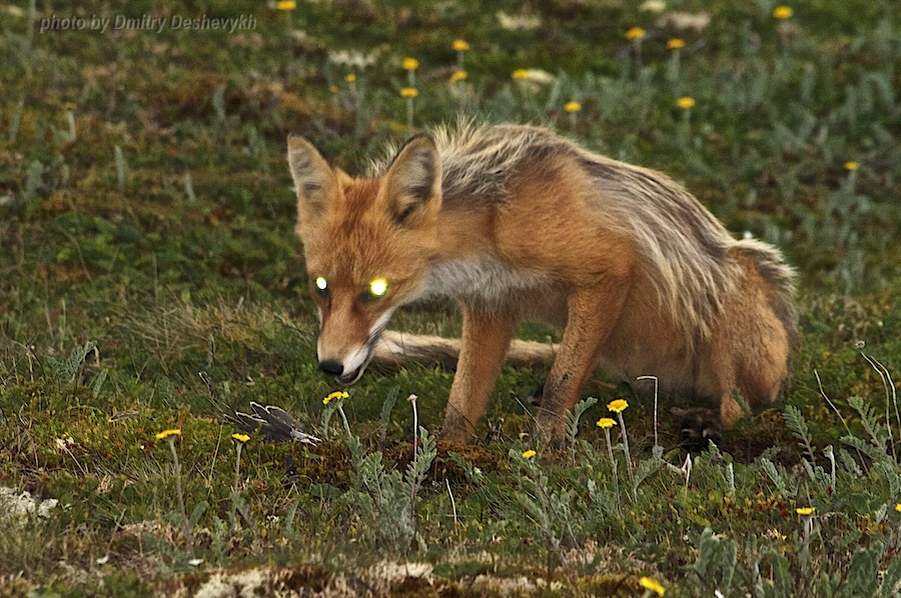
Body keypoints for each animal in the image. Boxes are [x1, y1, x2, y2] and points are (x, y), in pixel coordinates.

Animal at [286, 124, 796, 446]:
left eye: (376, 290)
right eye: (320, 286)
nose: (330, 366)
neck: (489, 234)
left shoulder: (609, 272)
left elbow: (561, 382)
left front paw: (545, 448)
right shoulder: (492, 304)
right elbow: (464, 395)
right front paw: (448, 450)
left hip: (732, 311)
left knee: (745, 404)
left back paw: (711, 423)